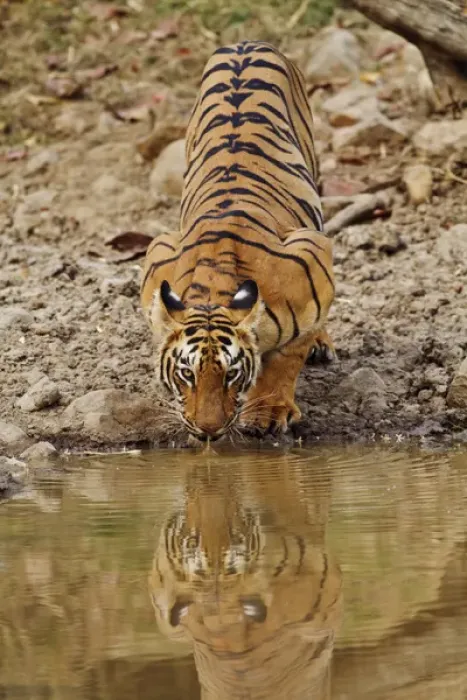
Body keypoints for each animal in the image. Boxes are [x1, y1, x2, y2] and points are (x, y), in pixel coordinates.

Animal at [141, 40, 335, 442]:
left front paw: (269, 412)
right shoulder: (157, 254)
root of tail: (245, 43)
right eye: (187, 374)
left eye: (231, 374)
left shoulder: (313, 253)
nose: (208, 431)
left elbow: (288, 356)